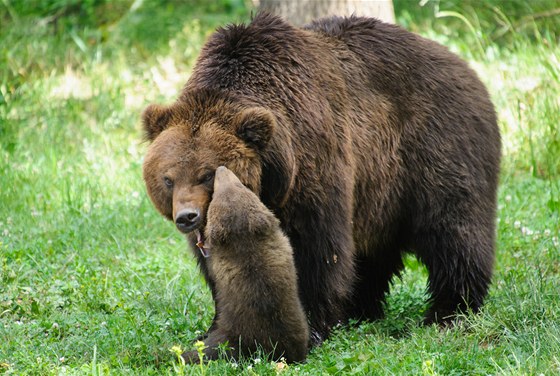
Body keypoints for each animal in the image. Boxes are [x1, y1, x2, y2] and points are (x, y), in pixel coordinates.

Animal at [142, 12, 500, 350]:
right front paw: (213, 330)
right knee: (372, 253)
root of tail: (467, 68)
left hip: (435, 148)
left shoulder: (313, 161)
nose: (187, 217)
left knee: (453, 231)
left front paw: (313, 327)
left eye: (206, 174)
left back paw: (450, 310)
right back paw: (362, 310)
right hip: (379, 195)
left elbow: (318, 250)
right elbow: (218, 269)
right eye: (168, 178)